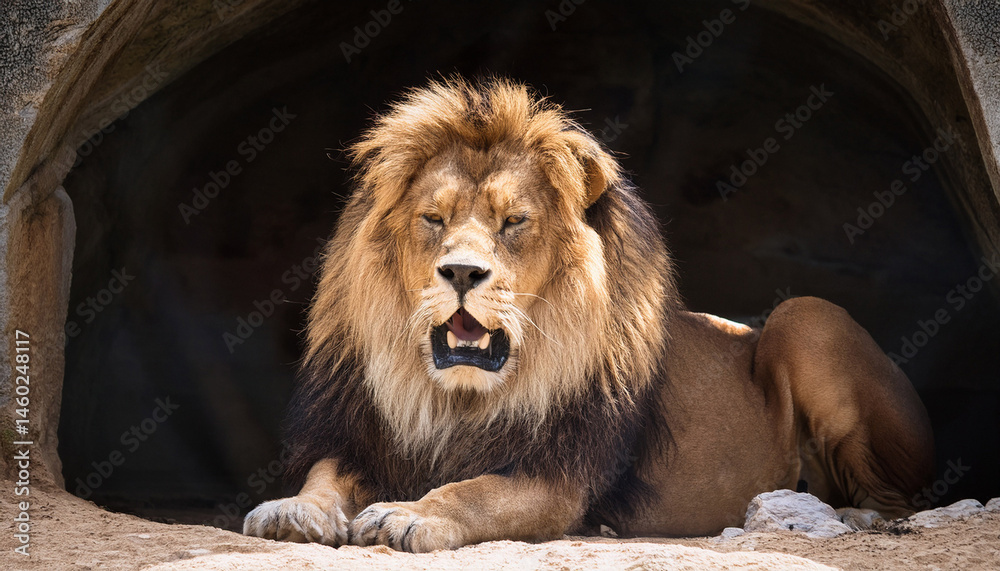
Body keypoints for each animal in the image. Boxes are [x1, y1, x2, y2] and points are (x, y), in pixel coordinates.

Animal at [243, 76, 934, 551]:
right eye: (433, 218)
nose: (461, 272)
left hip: (805, 315)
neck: (455, 398)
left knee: (899, 498)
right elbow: (325, 476)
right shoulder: (362, 435)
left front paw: (410, 513)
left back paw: (850, 516)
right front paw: (293, 510)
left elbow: (478, 492)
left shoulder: (561, 474)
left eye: (513, 221)